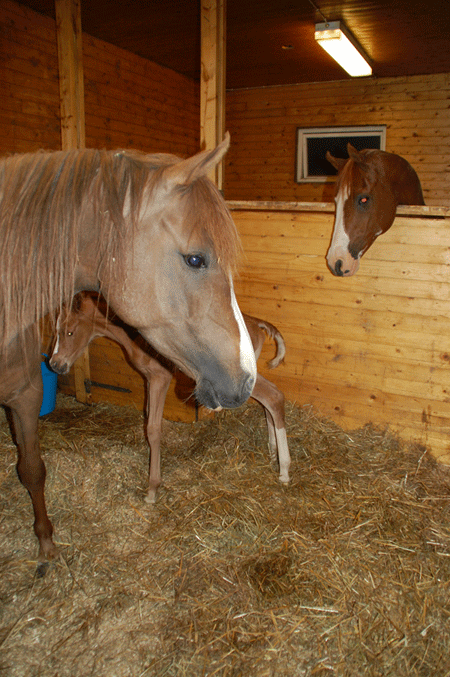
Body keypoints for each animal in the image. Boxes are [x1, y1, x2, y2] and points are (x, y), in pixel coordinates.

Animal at [48, 294, 288, 500]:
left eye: (69, 332)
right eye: (56, 331)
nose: (55, 364)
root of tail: (256, 323)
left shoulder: (159, 377)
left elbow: (153, 428)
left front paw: (152, 488)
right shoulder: (148, 378)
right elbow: (146, 415)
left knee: (274, 397)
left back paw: (284, 471)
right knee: (267, 401)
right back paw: (272, 451)